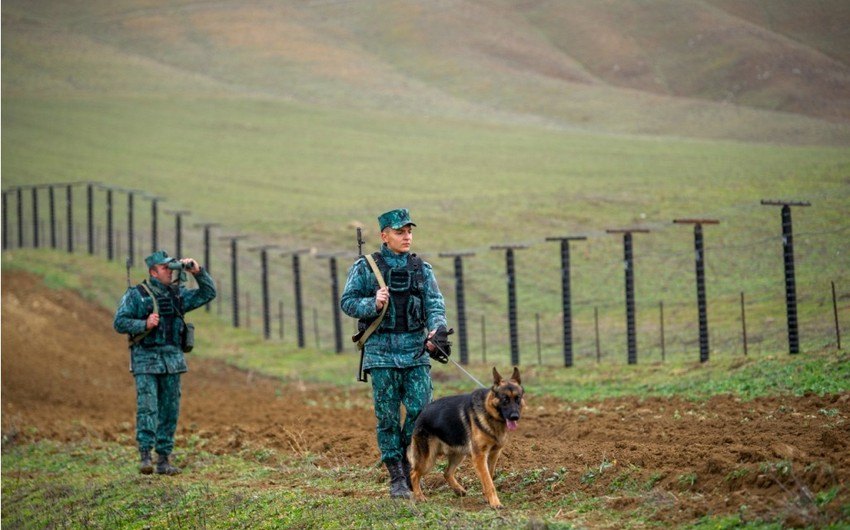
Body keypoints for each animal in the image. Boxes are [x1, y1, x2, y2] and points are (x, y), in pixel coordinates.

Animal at [406, 366, 520, 506]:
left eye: (518, 399)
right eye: (505, 400)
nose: (515, 417)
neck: (489, 413)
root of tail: (422, 412)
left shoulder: (494, 455)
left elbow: (489, 477)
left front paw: (487, 498)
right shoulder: (479, 457)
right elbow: (488, 481)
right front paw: (494, 503)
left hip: (459, 455)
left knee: (446, 473)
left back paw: (458, 490)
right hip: (428, 461)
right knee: (413, 473)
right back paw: (419, 496)